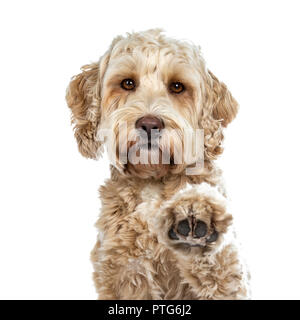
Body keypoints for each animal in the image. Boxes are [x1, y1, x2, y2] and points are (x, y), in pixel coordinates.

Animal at [66, 28, 251, 298]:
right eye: (128, 83)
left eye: (177, 86)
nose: (149, 124)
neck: (154, 180)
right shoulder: (124, 273)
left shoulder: (230, 278)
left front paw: (198, 219)